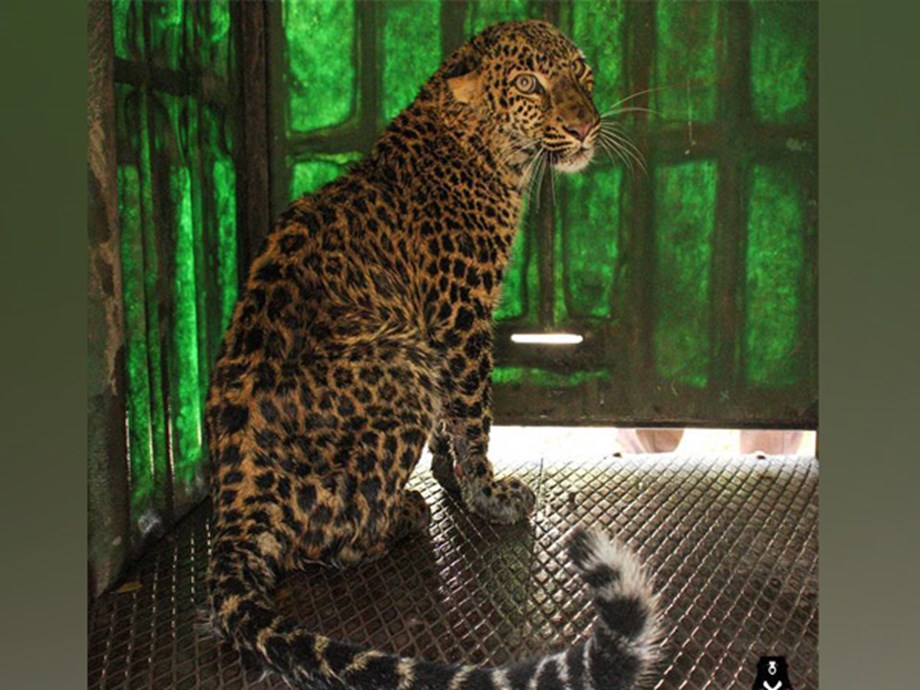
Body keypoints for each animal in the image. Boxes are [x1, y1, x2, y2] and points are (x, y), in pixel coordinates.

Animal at [206, 19, 661, 690]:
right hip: (403, 361)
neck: (483, 148)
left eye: (584, 75)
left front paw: (449, 469)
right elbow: (474, 411)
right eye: (529, 83)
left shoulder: (448, 325)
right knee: (337, 542)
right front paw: (488, 495)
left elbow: (457, 413)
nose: (586, 127)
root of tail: (236, 504)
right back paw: (404, 513)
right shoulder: (457, 318)